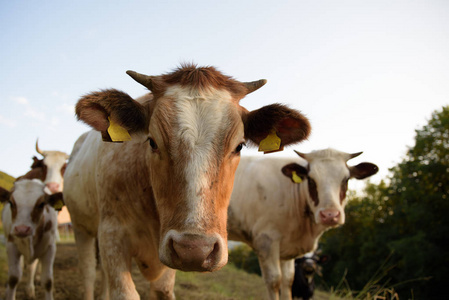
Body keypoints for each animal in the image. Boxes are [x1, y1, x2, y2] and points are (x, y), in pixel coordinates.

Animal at [63, 63, 310, 300]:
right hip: (81, 226)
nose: (194, 250)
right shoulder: (112, 233)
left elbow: (162, 290)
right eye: (152, 142)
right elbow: (124, 292)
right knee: (88, 271)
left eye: (239, 146)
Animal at [228, 148, 378, 300]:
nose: (330, 215)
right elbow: (274, 280)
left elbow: (288, 280)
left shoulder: (287, 247)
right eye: (311, 180)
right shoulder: (266, 239)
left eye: (345, 179)